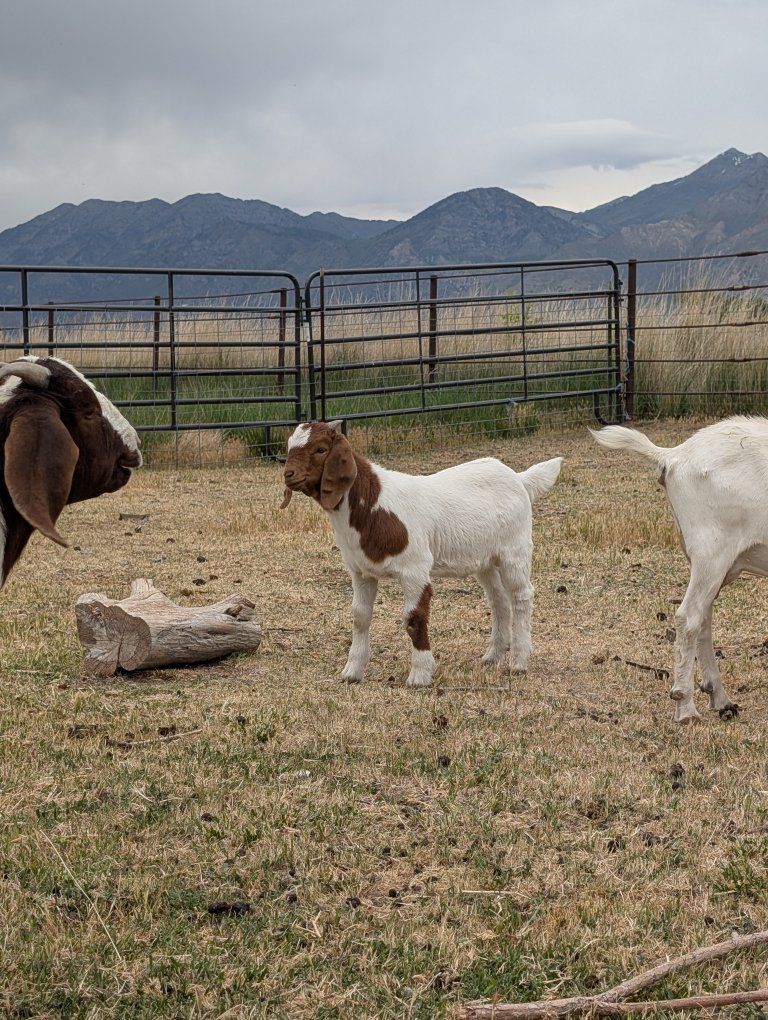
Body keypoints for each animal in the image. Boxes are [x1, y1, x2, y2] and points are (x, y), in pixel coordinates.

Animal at [281, 420, 562, 687]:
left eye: (320, 449)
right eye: (289, 446)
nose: (288, 474)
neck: (373, 505)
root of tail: (519, 478)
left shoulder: (414, 568)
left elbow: (414, 618)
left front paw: (419, 675)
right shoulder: (361, 571)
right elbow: (360, 617)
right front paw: (352, 672)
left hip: (515, 549)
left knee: (521, 596)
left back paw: (519, 662)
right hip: (485, 559)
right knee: (499, 600)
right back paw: (492, 656)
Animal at [590, 418, 764, 723]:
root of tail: (674, 456)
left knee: (703, 618)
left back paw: (719, 697)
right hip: (712, 551)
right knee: (689, 616)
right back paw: (685, 707)